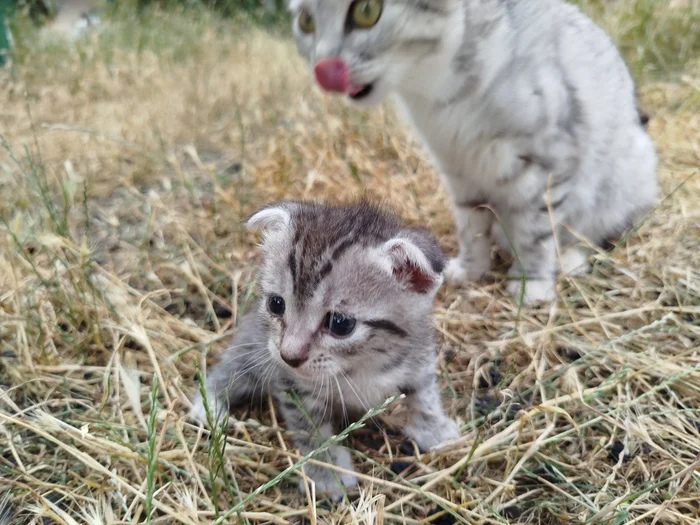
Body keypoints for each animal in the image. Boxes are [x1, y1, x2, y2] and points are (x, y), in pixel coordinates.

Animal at [189, 200, 460, 500]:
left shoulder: (418, 354)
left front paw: (433, 427)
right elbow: (311, 430)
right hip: (252, 352)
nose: (289, 356)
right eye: (276, 304)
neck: (363, 364)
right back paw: (209, 408)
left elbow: (423, 393)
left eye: (340, 323)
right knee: (225, 373)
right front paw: (326, 471)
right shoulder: (294, 386)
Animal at [288, 0, 660, 302]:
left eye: (367, 10)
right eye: (306, 21)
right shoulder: (460, 170)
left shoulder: (547, 161)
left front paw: (534, 284)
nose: (323, 68)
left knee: (596, 232)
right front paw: (469, 270)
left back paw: (569, 259)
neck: (437, 96)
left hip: (626, 177)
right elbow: (472, 227)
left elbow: (537, 231)